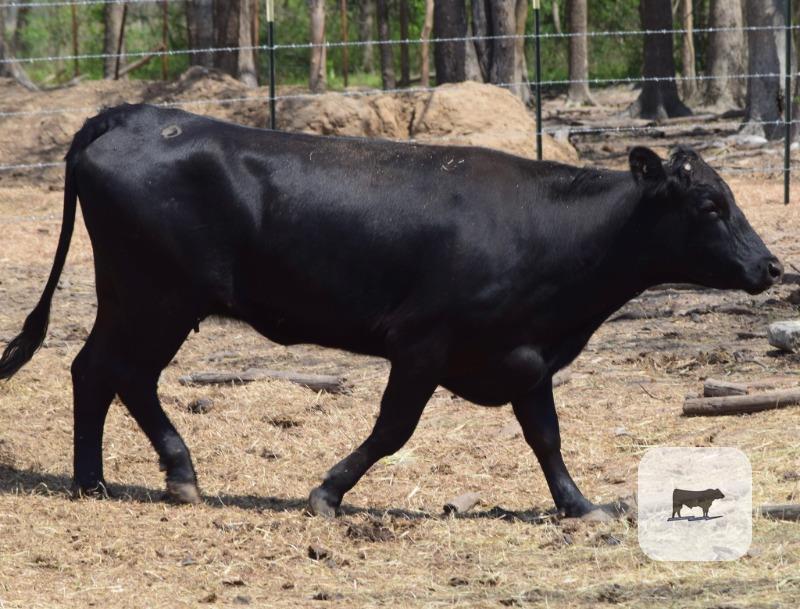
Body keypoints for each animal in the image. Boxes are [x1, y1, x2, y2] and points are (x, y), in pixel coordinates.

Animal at [0, 104, 782, 519]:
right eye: (710, 204)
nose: (772, 267)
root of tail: (139, 115)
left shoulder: (525, 357)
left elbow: (547, 438)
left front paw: (580, 506)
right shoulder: (421, 343)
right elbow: (393, 429)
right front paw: (327, 491)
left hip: (142, 299)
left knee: (101, 372)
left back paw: (112, 477)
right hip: (154, 297)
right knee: (113, 371)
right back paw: (141, 475)